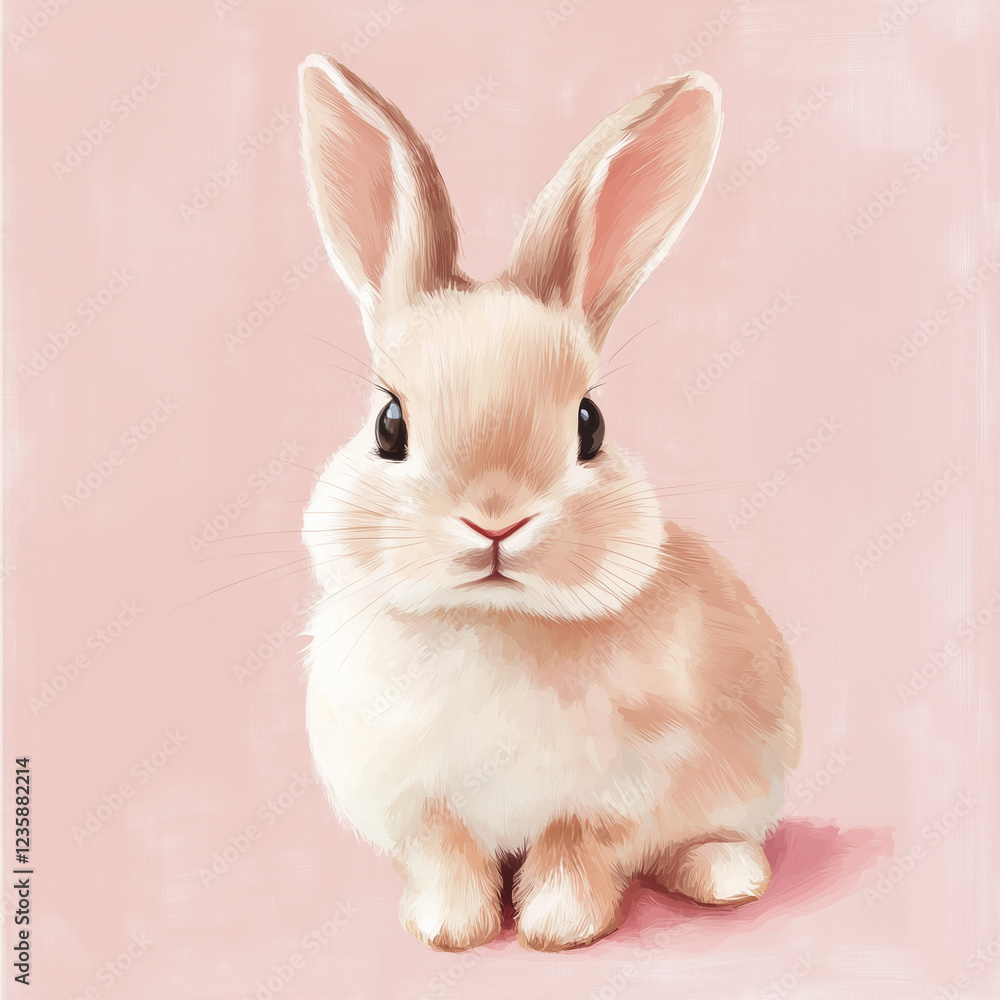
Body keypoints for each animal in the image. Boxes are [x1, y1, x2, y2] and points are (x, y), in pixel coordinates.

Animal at [298, 54, 802, 953]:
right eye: (389, 425)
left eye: (589, 425)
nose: (496, 518)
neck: (491, 621)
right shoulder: (422, 805)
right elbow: (449, 852)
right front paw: (448, 929)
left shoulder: (612, 797)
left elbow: (575, 848)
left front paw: (559, 930)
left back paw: (727, 877)